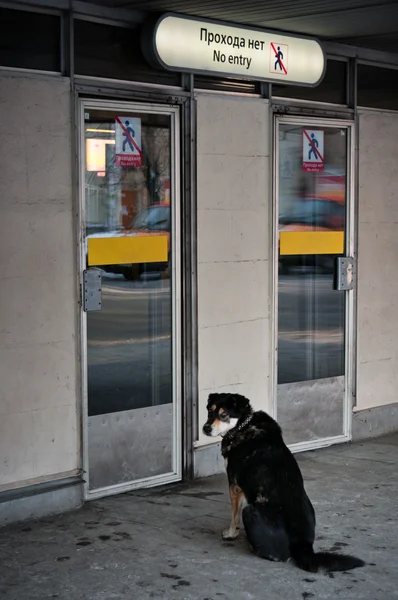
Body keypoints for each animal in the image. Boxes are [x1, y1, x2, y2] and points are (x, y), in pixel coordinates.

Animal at [204, 394, 366, 572]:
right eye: (209, 411)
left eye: (224, 414)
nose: (205, 428)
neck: (243, 425)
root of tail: (303, 545)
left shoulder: (234, 485)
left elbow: (234, 515)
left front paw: (231, 533)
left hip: (250, 511)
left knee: (279, 556)